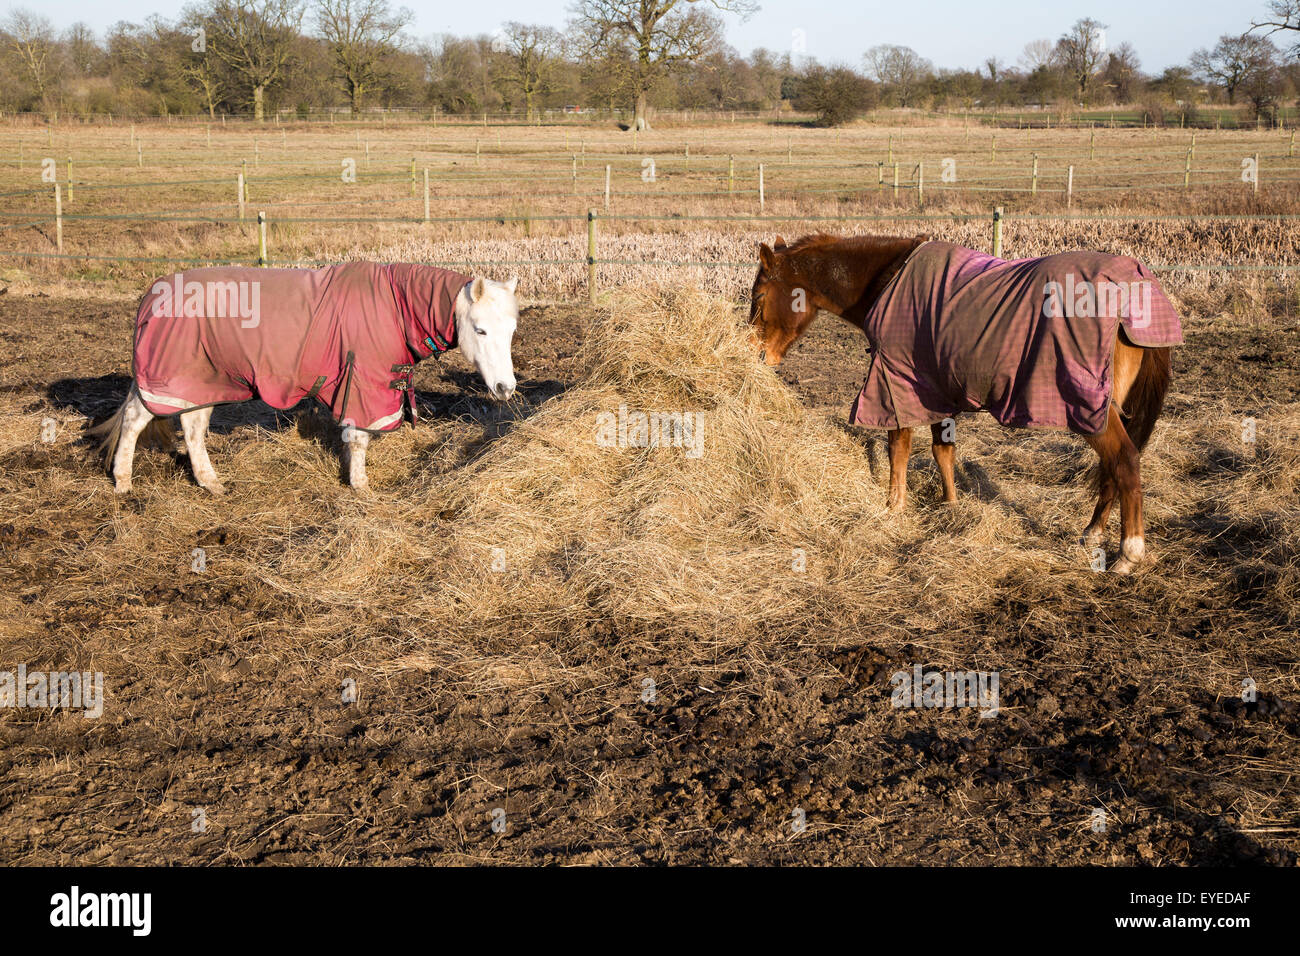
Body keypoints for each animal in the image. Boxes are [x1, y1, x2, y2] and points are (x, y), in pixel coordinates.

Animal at [92, 269, 517, 494]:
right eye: (480, 330)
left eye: (511, 330)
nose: (506, 388)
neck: (396, 306)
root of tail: (154, 294)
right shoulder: (362, 384)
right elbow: (358, 438)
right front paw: (360, 486)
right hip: (167, 380)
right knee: (135, 420)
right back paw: (123, 481)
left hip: (201, 382)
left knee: (192, 427)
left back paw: (210, 482)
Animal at [743, 234, 1180, 572]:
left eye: (759, 296)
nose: (756, 355)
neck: (889, 280)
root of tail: (1135, 288)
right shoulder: (934, 387)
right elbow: (943, 450)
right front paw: (951, 505)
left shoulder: (897, 382)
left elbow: (899, 448)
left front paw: (894, 506)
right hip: (1103, 407)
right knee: (1111, 469)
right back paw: (1093, 532)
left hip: (1090, 407)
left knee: (1124, 461)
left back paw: (1128, 553)